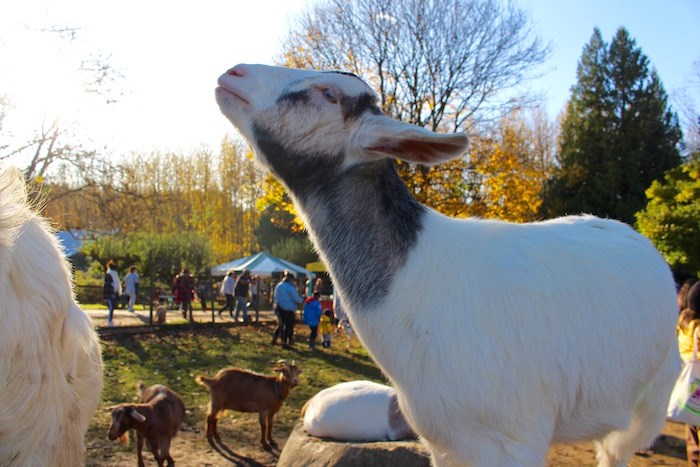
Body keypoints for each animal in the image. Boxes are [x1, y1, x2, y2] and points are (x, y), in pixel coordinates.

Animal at [216, 63, 680, 467]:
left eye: (329, 94)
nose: (233, 73)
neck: (413, 280)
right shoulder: (445, 442)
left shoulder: (516, 439)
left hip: (650, 401)